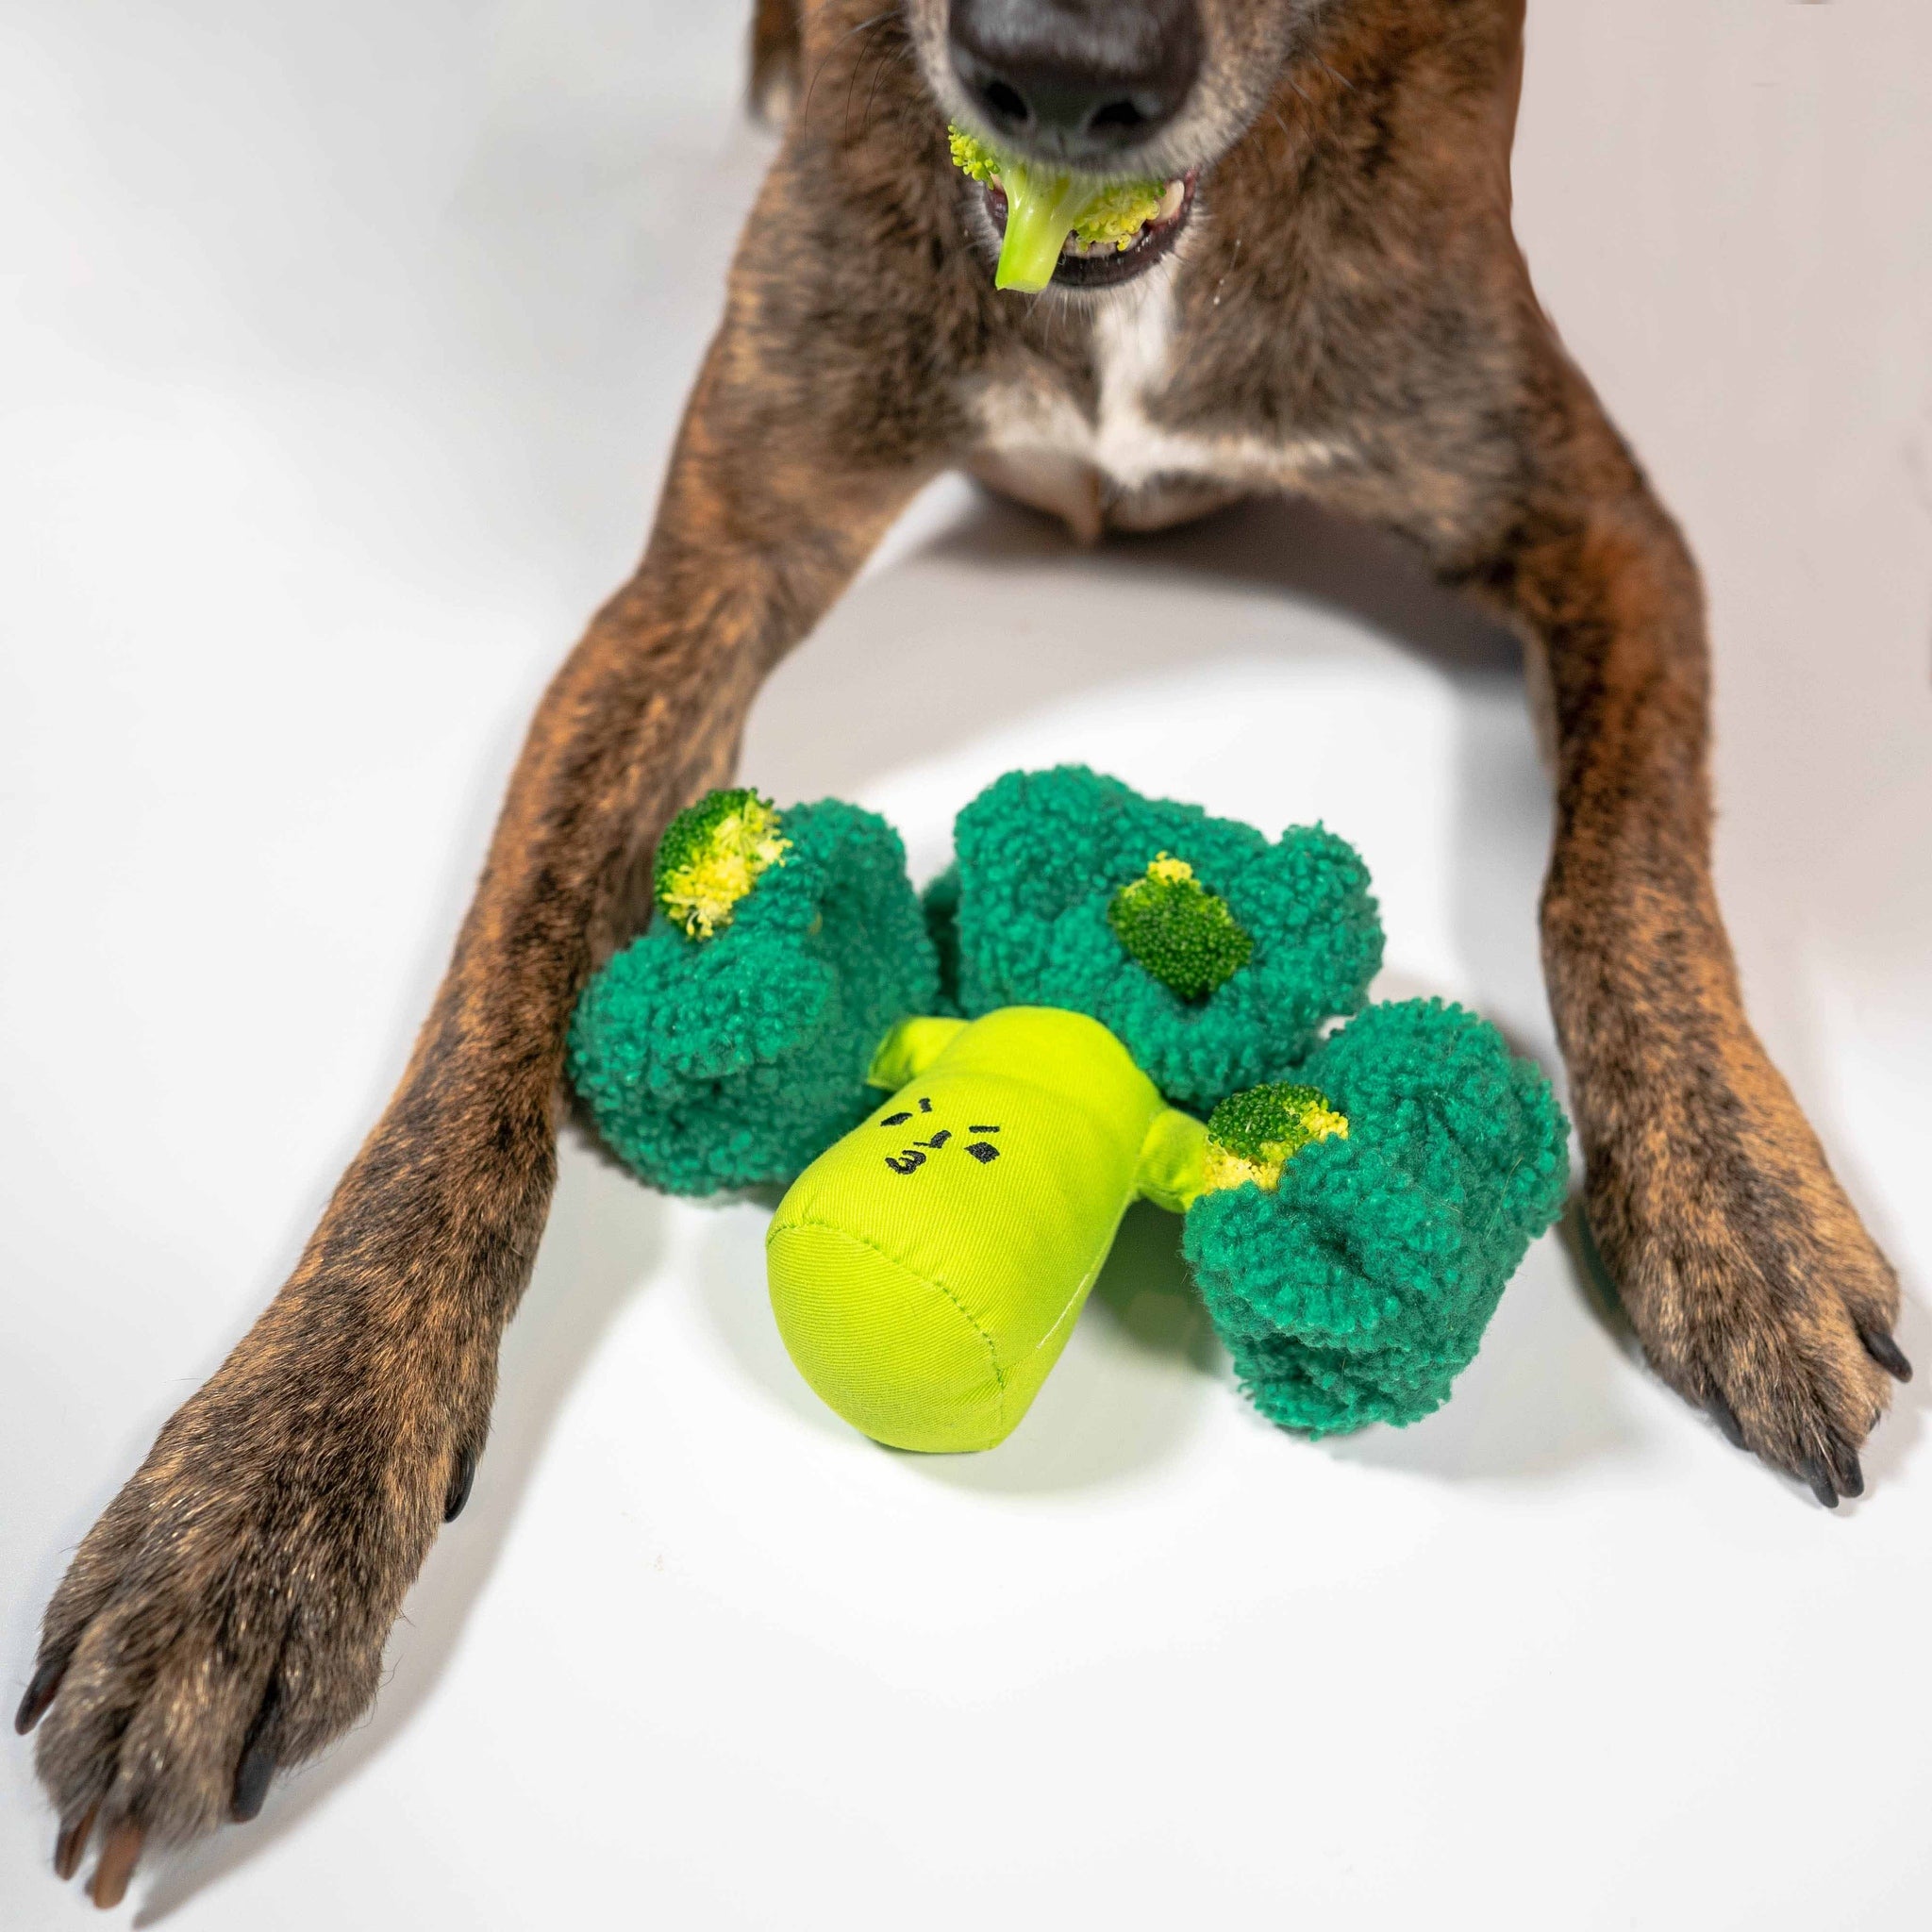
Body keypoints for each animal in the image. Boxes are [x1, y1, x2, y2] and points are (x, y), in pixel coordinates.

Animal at [18, 0, 1916, 1901]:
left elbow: (1618, 872)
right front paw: (264, 1498)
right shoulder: (706, 565)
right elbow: (483, 1017)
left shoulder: (1593, 514)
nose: (1060, 72)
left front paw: (1739, 1211)